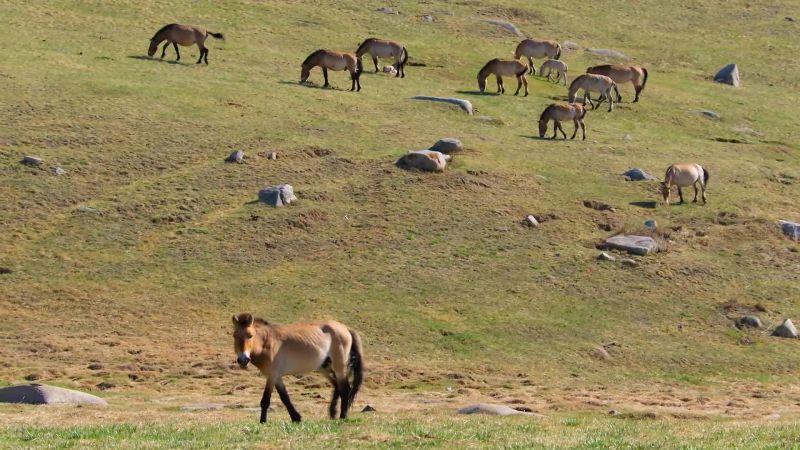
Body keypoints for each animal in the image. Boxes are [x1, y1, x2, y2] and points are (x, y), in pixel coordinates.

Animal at [232, 313, 364, 423]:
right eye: (234, 336)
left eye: (250, 336)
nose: (243, 360)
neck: (267, 343)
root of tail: (345, 328)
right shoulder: (277, 377)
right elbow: (285, 397)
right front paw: (296, 418)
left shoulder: (272, 375)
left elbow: (265, 400)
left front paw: (263, 421)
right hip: (324, 367)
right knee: (337, 385)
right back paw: (332, 413)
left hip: (339, 366)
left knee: (345, 389)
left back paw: (343, 416)